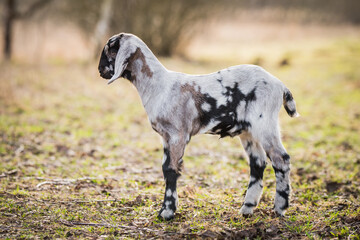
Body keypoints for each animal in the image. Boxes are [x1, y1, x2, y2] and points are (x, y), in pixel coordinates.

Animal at [97, 32, 298, 220]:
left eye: (110, 48)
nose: (100, 70)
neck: (159, 85)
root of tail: (280, 85)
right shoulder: (166, 137)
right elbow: (166, 168)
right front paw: (166, 209)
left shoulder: (177, 135)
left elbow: (170, 170)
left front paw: (167, 212)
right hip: (248, 131)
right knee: (258, 163)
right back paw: (247, 208)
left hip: (264, 123)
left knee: (281, 159)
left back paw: (279, 208)